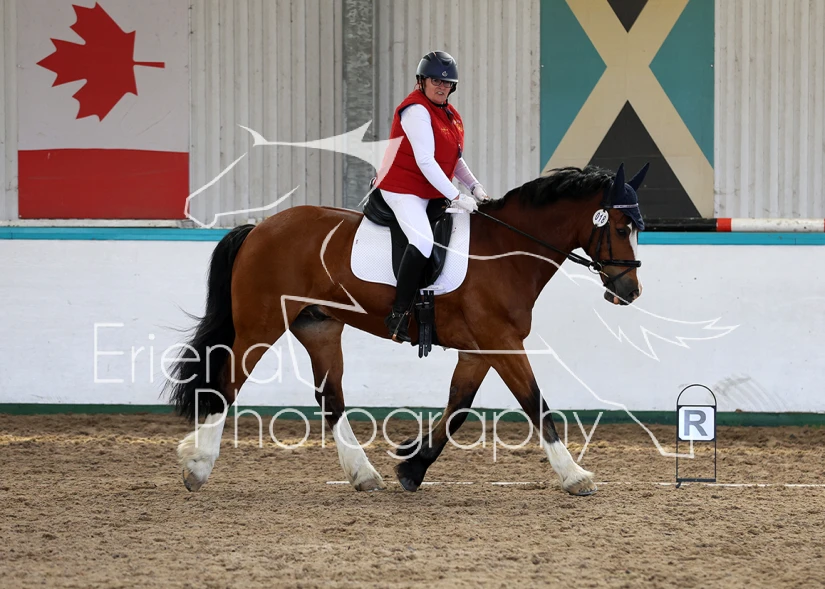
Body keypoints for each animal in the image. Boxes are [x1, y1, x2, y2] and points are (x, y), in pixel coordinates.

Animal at [165, 162, 648, 496]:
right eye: (621, 226)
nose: (630, 291)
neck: (506, 250)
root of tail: (258, 228)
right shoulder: (501, 342)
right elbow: (536, 404)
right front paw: (575, 476)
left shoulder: (481, 348)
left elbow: (459, 405)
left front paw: (412, 465)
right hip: (262, 325)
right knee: (227, 384)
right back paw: (198, 466)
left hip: (318, 326)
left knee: (330, 399)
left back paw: (364, 474)